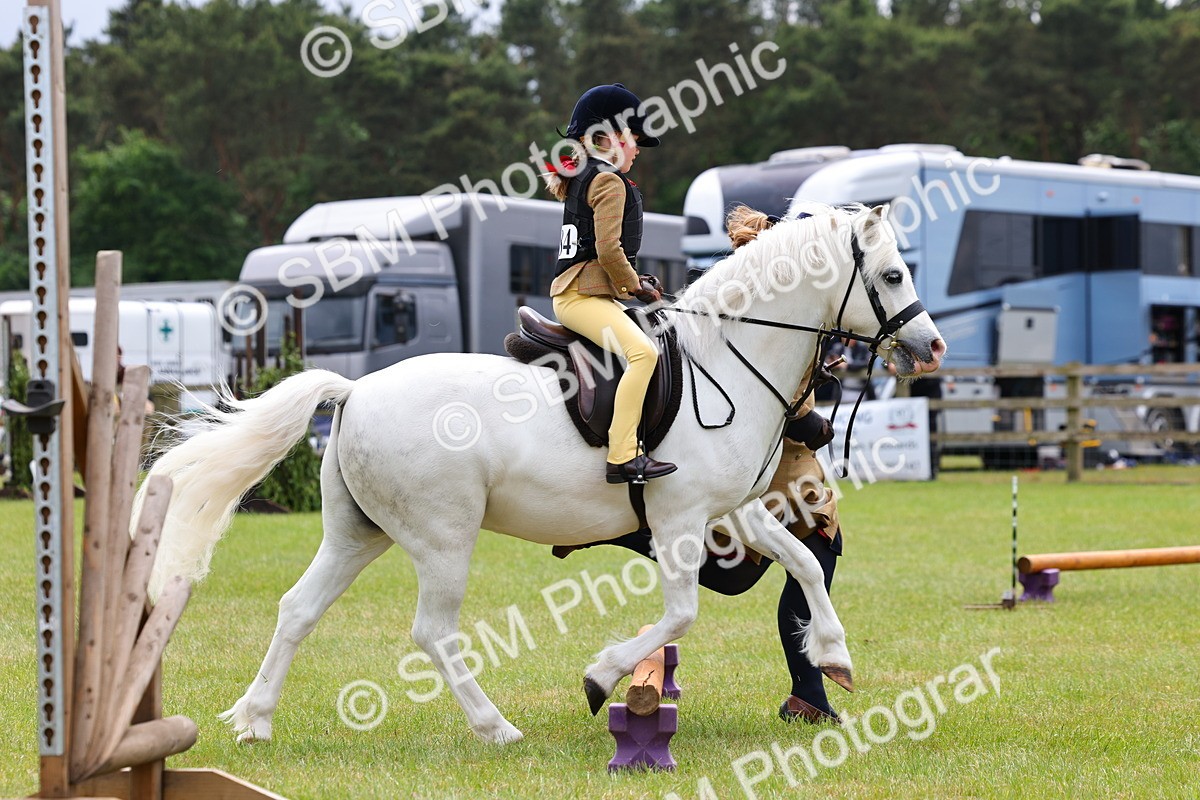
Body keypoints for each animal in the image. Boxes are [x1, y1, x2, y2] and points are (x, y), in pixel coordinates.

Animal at [135, 202, 945, 745]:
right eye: (893, 272)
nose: (932, 347)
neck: (729, 360)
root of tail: (356, 390)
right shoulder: (680, 521)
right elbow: (681, 614)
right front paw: (600, 676)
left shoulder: (731, 510)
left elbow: (804, 562)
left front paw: (834, 657)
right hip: (442, 538)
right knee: (434, 631)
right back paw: (494, 727)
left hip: (358, 533)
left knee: (298, 609)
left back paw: (254, 721)